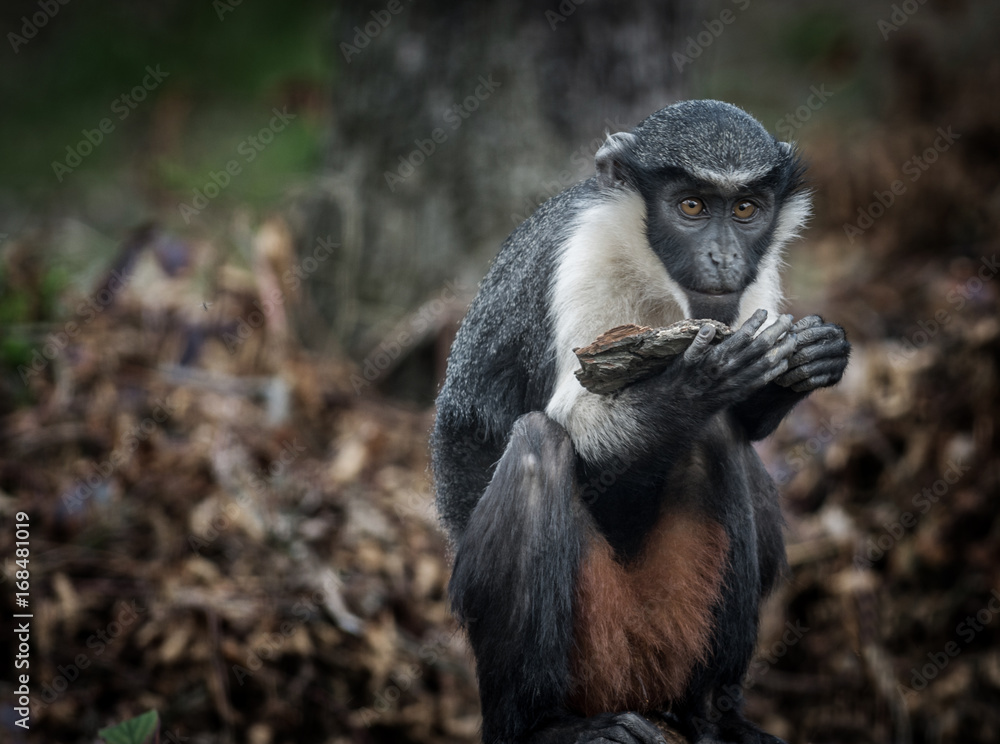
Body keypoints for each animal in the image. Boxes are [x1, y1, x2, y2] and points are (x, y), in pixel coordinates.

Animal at [431, 100, 850, 744]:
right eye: (692, 206)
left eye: (746, 208)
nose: (725, 257)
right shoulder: (582, 260)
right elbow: (576, 427)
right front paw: (696, 383)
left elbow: (746, 421)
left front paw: (810, 358)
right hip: (593, 639)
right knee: (537, 446)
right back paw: (545, 726)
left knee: (719, 440)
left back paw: (713, 713)